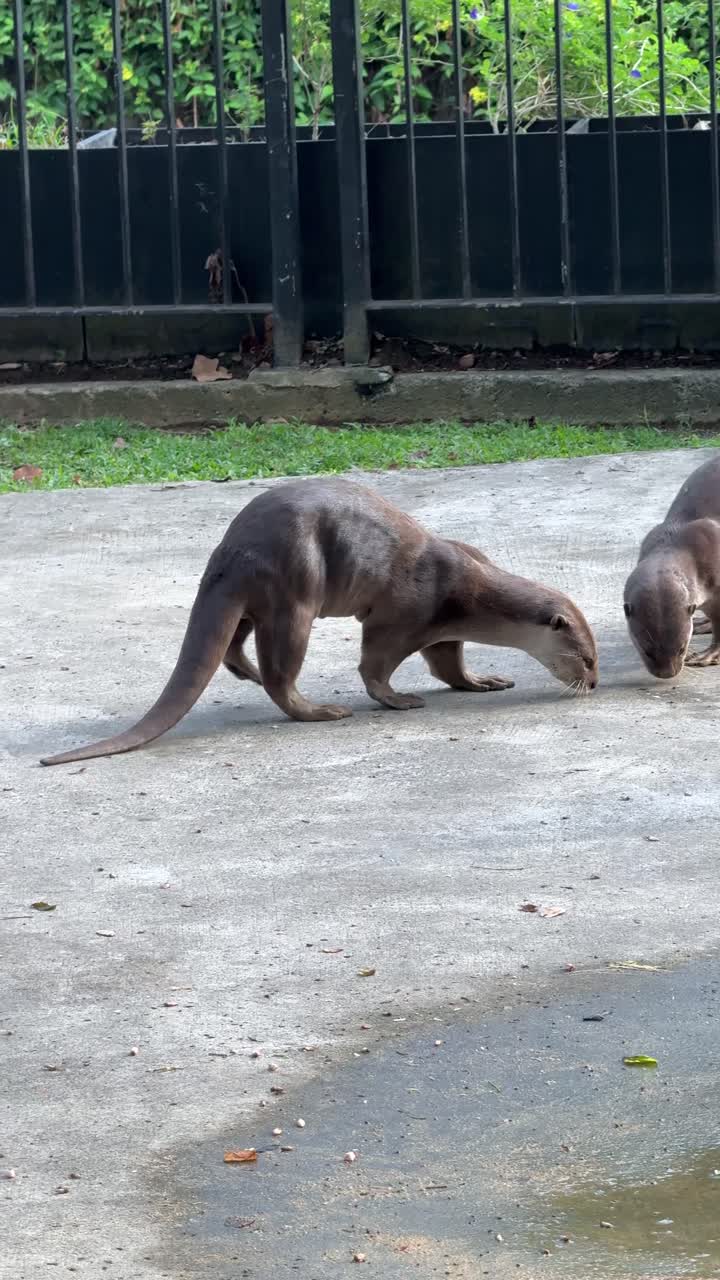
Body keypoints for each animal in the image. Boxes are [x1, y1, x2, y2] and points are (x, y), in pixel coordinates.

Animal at [41, 477, 598, 765]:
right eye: (587, 659)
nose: (593, 684)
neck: (471, 589)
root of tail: (229, 550)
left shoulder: (443, 629)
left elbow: (449, 665)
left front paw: (483, 681)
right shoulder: (404, 614)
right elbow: (374, 665)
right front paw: (397, 700)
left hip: (254, 599)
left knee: (234, 644)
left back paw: (247, 672)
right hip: (294, 594)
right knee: (280, 673)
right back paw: (322, 710)